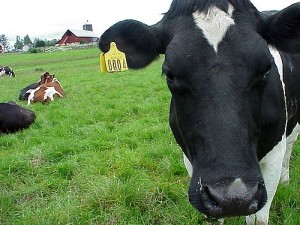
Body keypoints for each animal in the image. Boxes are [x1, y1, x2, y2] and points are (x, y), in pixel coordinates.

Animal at [99, 0, 300, 225]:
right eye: (170, 74)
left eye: (266, 68)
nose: (232, 198)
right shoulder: (192, 162)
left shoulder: (273, 157)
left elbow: (258, 218)